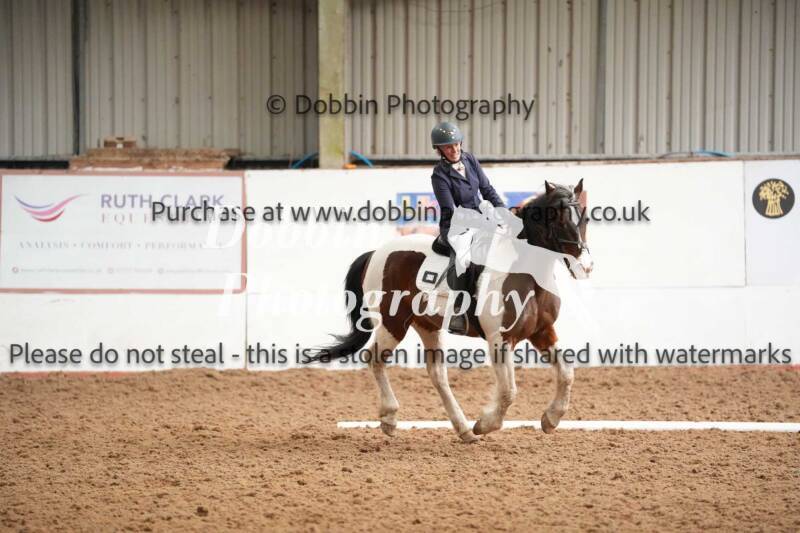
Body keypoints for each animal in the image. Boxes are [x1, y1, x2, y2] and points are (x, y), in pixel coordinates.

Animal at [309, 180, 591, 443]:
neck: (525, 273)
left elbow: (567, 373)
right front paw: (485, 424)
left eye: (585, 218)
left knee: (436, 374)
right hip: (393, 324)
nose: (585, 266)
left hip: (426, 325)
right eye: (559, 218)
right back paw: (390, 418)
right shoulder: (500, 340)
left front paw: (551, 419)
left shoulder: (542, 332)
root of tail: (375, 253)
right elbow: (509, 391)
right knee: (375, 358)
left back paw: (463, 429)